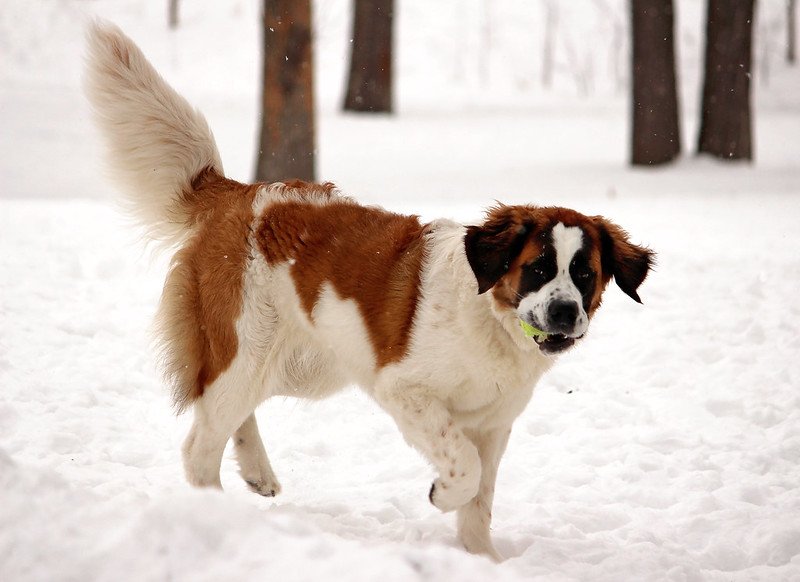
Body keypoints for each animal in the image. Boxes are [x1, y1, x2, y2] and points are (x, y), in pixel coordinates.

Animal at [86, 21, 656, 560]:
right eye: (538, 269)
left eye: (584, 275)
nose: (564, 312)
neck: (489, 318)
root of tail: (239, 193)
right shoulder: (405, 390)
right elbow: (466, 468)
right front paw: (441, 495)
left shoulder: (494, 423)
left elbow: (482, 499)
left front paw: (482, 559)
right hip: (247, 347)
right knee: (200, 444)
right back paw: (218, 516)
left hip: (301, 363)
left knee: (226, 412)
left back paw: (257, 472)